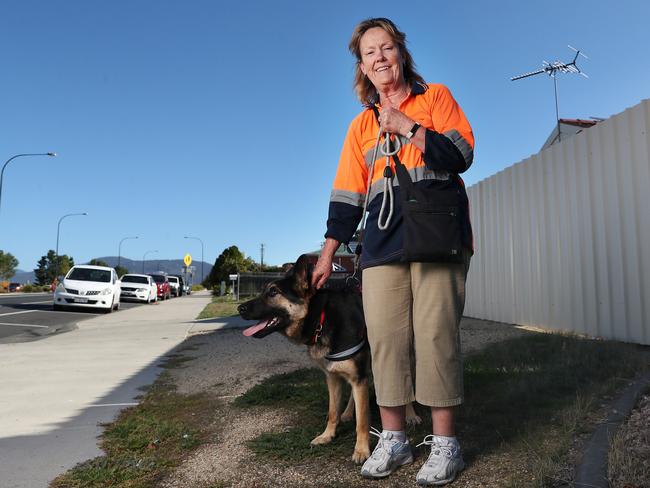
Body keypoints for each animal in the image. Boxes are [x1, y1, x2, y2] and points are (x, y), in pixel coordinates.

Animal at [238, 254, 420, 464]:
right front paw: (328, 435)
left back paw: (410, 415)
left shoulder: (356, 376)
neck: (321, 319)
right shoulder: (333, 377)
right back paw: (348, 412)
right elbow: (333, 412)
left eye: (273, 292)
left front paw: (361, 450)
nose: (239, 308)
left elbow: (362, 421)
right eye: (264, 291)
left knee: (404, 388)